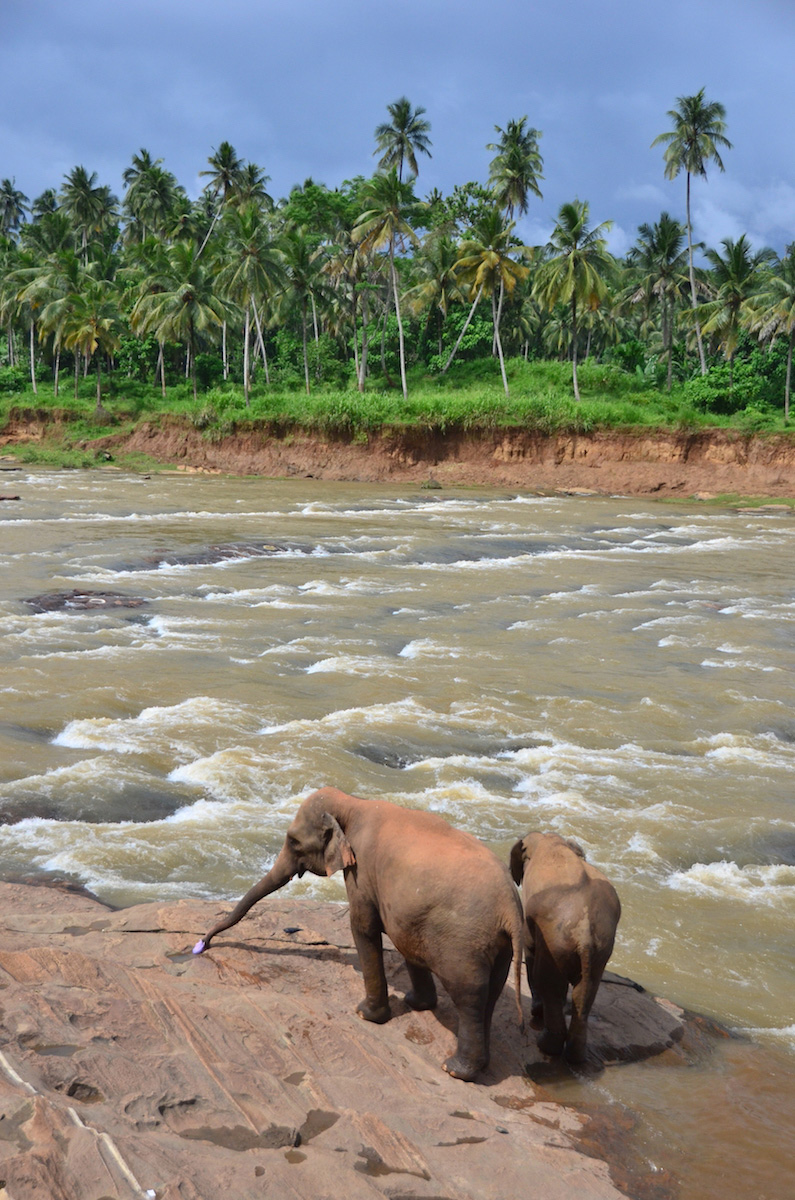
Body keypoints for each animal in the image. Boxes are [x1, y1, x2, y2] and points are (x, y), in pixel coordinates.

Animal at [195, 782, 525, 1084]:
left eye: (293, 841)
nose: (202, 944)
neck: (353, 802)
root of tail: (510, 904)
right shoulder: (408, 910)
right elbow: (406, 942)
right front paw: (414, 1003)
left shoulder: (361, 871)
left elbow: (363, 927)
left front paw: (366, 1014)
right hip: (497, 946)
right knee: (491, 994)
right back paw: (480, 1065)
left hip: (464, 942)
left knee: (469, 997)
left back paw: (455, 1070)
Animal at [511, 830, 624, 1065]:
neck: (552, 840)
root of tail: (585, 933)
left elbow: (530, 947)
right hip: (600, 948)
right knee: (586, 990)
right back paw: (575, 1056)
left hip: (556, 942)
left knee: (548, 981)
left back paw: (546, 1045)